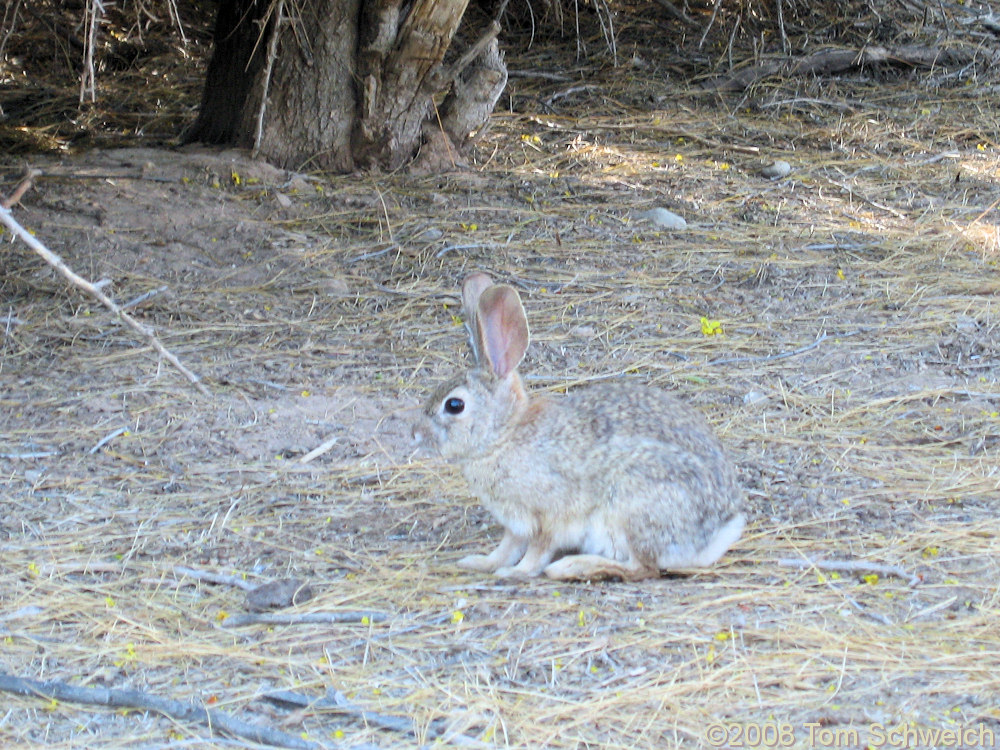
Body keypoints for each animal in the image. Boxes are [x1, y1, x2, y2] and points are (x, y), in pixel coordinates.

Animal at [410, 274, 748, 580]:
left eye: (454, 405)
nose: (415, 434)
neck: (503, 435)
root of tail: (711, 536)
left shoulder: (549, 515)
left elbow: (537, 551)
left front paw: (516, 573)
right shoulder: (515, 523)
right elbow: (506, 548)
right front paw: (480, 563)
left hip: (634, 504)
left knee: (643, 569)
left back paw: (572, 567)